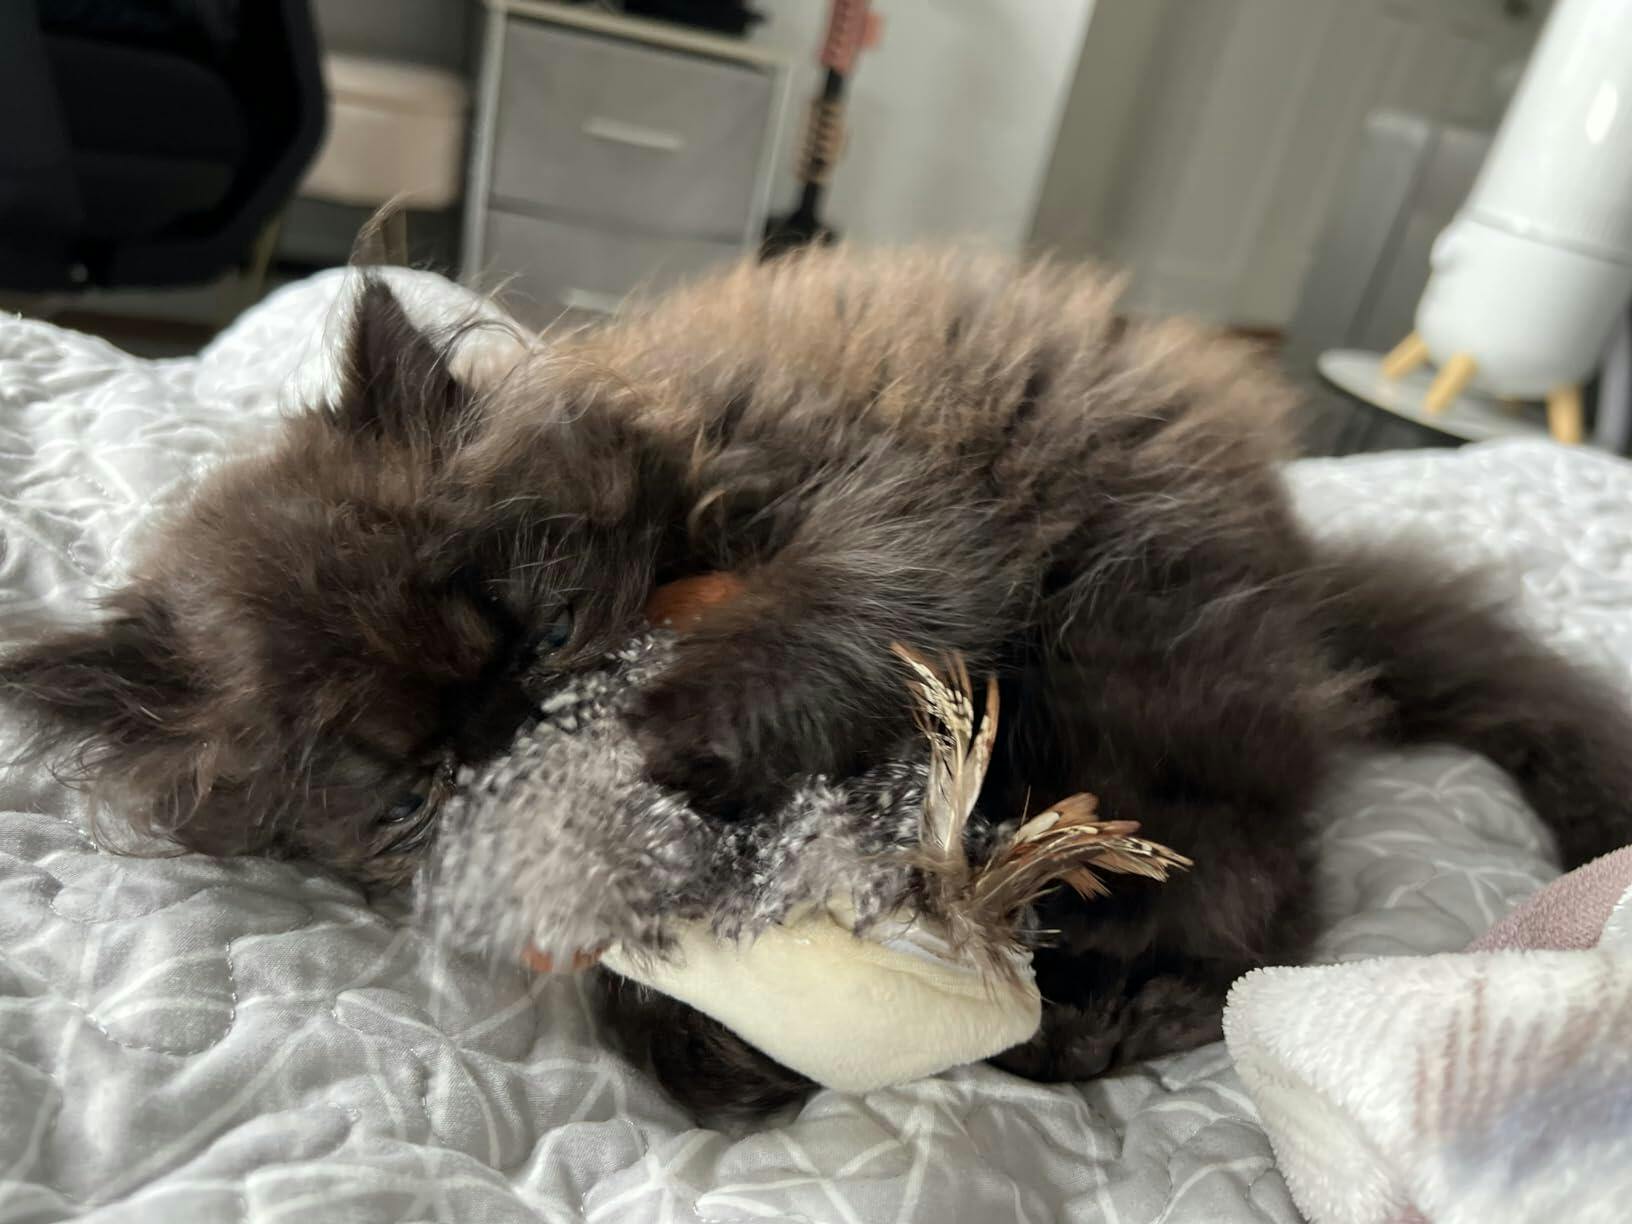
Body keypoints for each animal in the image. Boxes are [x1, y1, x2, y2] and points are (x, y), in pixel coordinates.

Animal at [5, 247, 1631, 1119]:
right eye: (411, 798)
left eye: (534, 626)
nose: (524, 737)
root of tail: (1305, 578)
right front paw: (710, 1048)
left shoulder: (900, 514)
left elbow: (818, 622)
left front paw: (673, 739)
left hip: (1125, 641)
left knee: (1267, 891)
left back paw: (1109, 997)